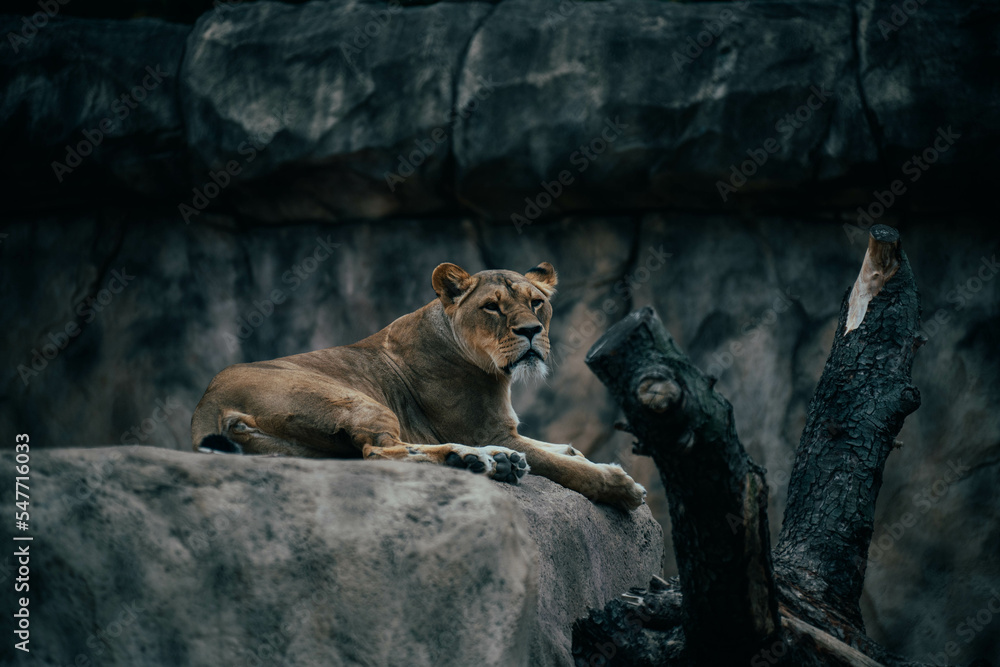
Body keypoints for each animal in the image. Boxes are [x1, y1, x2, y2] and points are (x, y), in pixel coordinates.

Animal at [191, 262, 646, 510]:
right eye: (492, 307)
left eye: (537, 302)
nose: (532, 331)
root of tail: (208, 406)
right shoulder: (489, 430)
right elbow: (562, 466)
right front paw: (621, 487)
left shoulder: (505, 430)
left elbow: (557, 449)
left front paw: (575, 452)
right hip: (355, 400)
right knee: (378, 452)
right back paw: (478, 460)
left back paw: (490, 462)